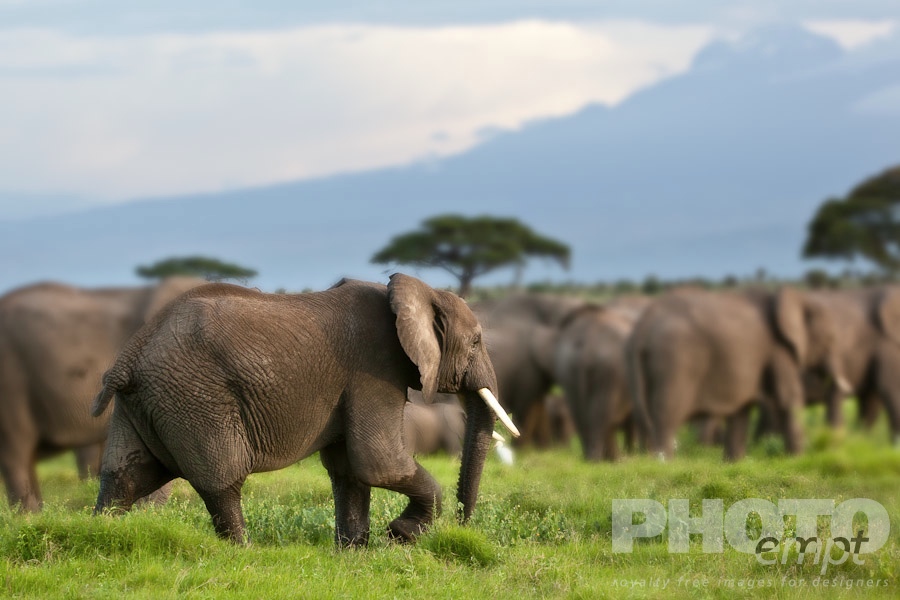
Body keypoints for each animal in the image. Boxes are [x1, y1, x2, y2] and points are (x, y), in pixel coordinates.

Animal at [91, 274, 516, 546]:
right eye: (476, 342)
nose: (462, 527)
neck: (415, 291)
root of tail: (130, 354)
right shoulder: (374, 369)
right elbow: (379, 462)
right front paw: (404, 534)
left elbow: (350, 469)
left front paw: (355, 552)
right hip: (195, 399)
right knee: (221, 479)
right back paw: (242, 552)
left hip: (147, 401)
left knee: (125, 476)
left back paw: (98, 534)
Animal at [554, 296, 651, 461]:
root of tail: (586, 342)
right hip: (608, 371)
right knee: (601, 415)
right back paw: (601, 460)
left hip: (568, 369)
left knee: (581, 414)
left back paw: (592, 458)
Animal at [627, 287, 844, 460]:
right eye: (830, 338)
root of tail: (644, 324)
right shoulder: (778, 349)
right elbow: (788, 397)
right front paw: (797, 460)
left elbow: (741, 410)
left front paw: (734, 464)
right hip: (676, 362)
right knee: (667, 416)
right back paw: (665, 464)